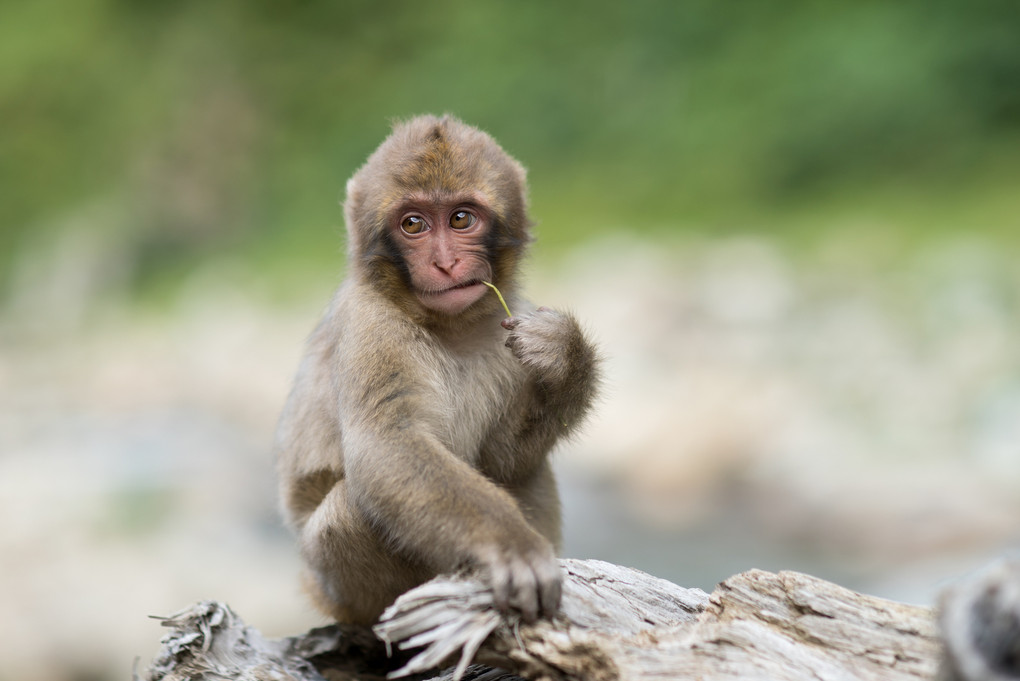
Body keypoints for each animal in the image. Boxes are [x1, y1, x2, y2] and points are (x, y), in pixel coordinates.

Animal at [275, 114, 599, 623]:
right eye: (413, 224)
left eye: (461, 218)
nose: (445, 262)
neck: (450, 326)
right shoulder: (372, 327)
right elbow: (389, 446)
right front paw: (512, 546)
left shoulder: (508, 321)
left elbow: (504, 460)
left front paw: (564, 352)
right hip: (333, 586)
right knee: (349, 508)